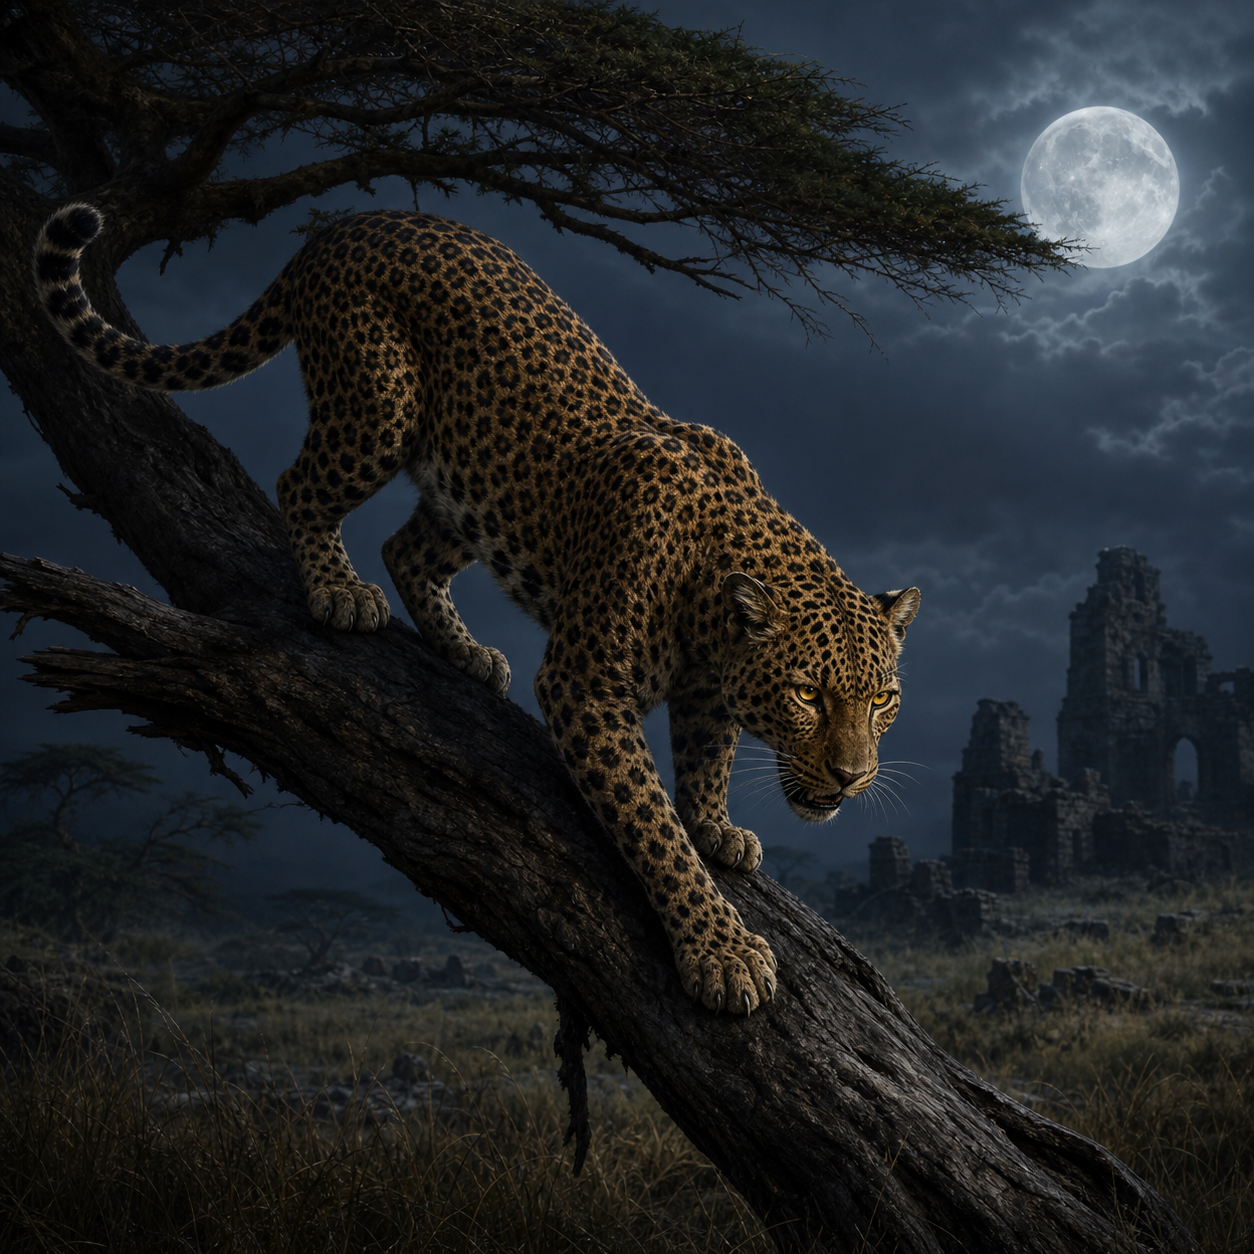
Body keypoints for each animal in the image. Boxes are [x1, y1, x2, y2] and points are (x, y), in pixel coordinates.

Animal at [35, 205, 920, 1016]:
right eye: (808, 695)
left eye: (882, 698)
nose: (854, 777)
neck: (709, 608)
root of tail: (354, 221)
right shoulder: (585, 688)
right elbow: (652, 827)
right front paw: (722, 950)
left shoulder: (705, 689)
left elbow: (707, 758)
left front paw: (718, 828)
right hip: (380, 400)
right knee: (304, 486)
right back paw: (338, 591)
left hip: (471, 482)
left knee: (407, 548)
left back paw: (465, 652)